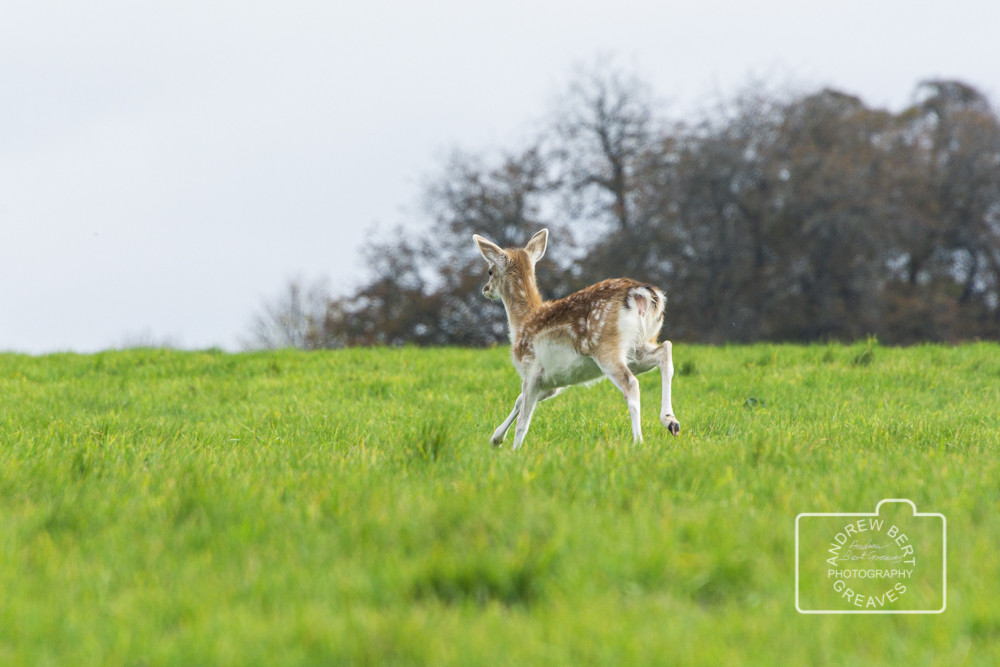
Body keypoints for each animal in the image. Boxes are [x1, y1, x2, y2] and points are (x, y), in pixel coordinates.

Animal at [473, 228, 680, 449]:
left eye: (489, 271)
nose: (485, 289)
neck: (521, 322)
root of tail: (643, 294)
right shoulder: (553, 382)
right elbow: (519, 401)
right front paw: (495, 438)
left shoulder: (531, 369)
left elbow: (523, 420)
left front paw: (515, 450)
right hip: (639, 348)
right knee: (665, 351)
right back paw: (671, 422)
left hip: (607, 346)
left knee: (631, 383)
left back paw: (638, 441)